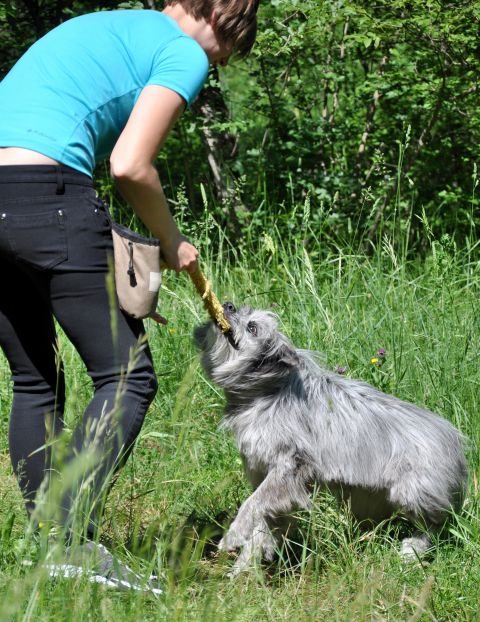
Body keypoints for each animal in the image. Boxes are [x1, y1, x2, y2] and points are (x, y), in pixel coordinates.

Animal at [193, 304, 466, 576]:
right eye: (242, 308)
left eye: (252, 327)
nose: (228, 305)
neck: (267, 390)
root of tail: (457, 445)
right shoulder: (270, 479)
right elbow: (264, 523)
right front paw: (243, 568)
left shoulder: (290, 468)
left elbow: (252, 505)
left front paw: (234, 536)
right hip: (367, 498)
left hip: (412, 491)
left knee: (433, 525)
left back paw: (412, 551)